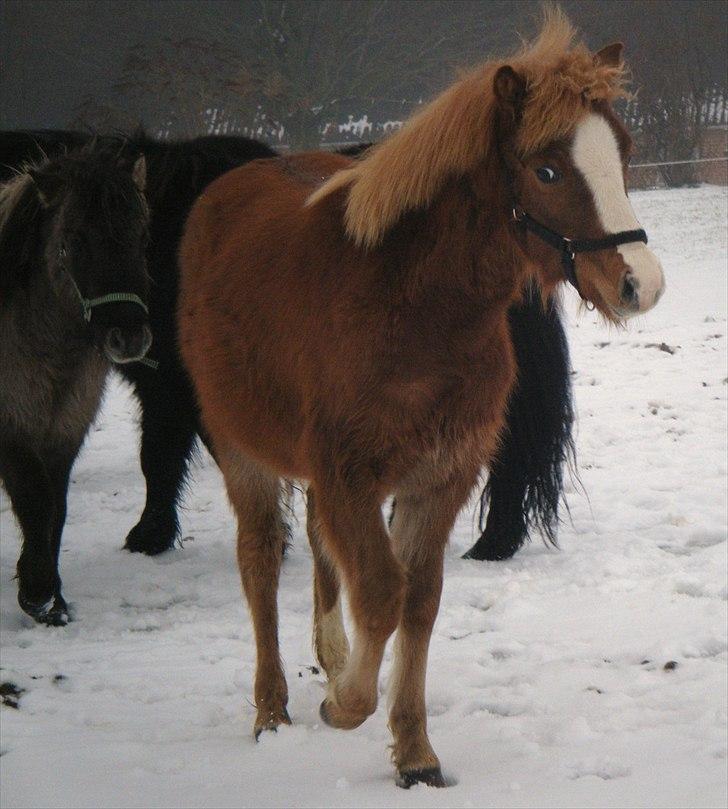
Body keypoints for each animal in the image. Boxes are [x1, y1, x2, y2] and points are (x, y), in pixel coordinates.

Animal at [0, 140, 151, 624]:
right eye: (75, 242)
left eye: (141, 237)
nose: (130, 336)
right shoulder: (12, 427)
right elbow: (36, 499)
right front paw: (37, 592)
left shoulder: (66, 428)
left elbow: (57, 508)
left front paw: (53, 598)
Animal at [1, 128, 576, 576]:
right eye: (70, 242)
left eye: (137, 237)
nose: (126, 331)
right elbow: (167, 455)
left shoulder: (181, 384)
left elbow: (163, 456)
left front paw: (154, 537)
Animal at [178, 9, 664, 784]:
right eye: (547, 169)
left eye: (622, 150)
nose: (639, 283)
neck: (412, 308)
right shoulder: (349, 476)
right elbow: (382, 593)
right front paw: (345, 705)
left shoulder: (439, 476)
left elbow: (418, 600)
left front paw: (412, 750)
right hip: (240, 450)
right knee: (259, 562)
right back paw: (272, 709)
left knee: (318, 545)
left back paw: (330, 654)